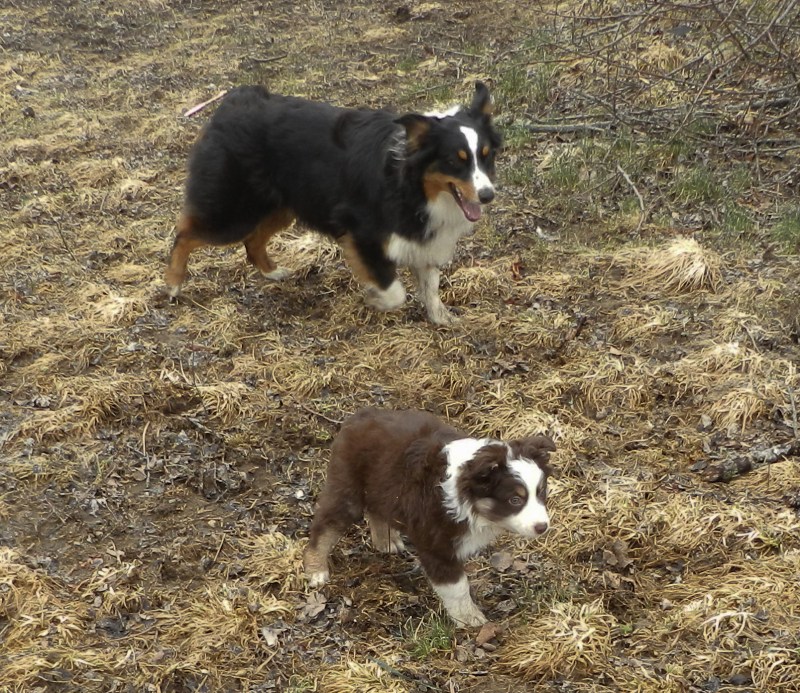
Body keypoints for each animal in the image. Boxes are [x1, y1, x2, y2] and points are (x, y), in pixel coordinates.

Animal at [165, 82, 502, 324]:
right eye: (454, 160)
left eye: (485, 156)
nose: (488, 195)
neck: (413, 184)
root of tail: (231, 102)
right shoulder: (362, 233)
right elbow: (395, 291)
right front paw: (376, 298)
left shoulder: (425, 236)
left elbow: (430, 284)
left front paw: (441, 317)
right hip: (235, 212)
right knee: (185, 234)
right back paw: (173, 284)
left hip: (279, 208)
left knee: (252, 241)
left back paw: (272, 272)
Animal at [303, 408, 555, 627]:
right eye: (515, 500)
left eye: (541, 492)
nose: (543, 527)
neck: (467, 496)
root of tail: (359, 416)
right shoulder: (436, 544)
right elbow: (457, 587)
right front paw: (470, 619)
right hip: (348, 490)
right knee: (324, 526)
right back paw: (316, 570)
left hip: (381, 485)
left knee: (376, 510)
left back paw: (386, 541)